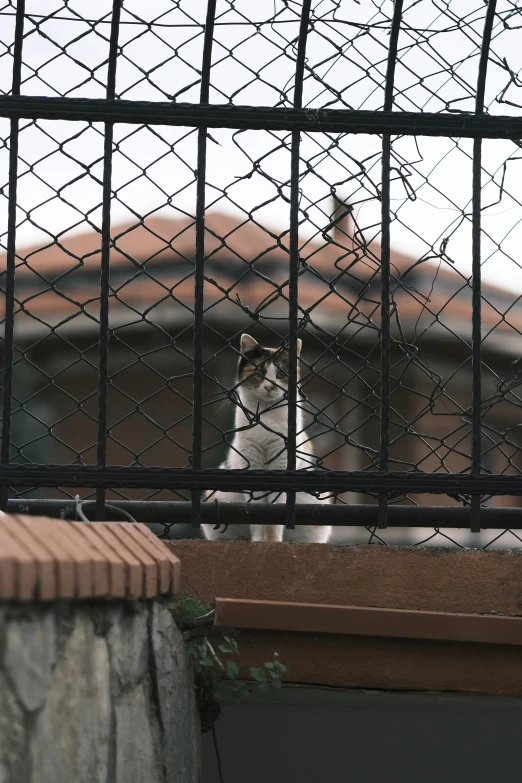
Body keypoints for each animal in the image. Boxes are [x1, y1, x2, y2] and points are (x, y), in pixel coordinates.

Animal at [201, 332, 332, 544]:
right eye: (260, 373)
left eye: (280, 374)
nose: (270, 386)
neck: (265, 416)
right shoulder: (251, 463)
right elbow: (256, 513)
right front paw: (258, 542)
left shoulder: (281, 463)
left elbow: (274, 514)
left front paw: (272, 542)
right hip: (216, 495)